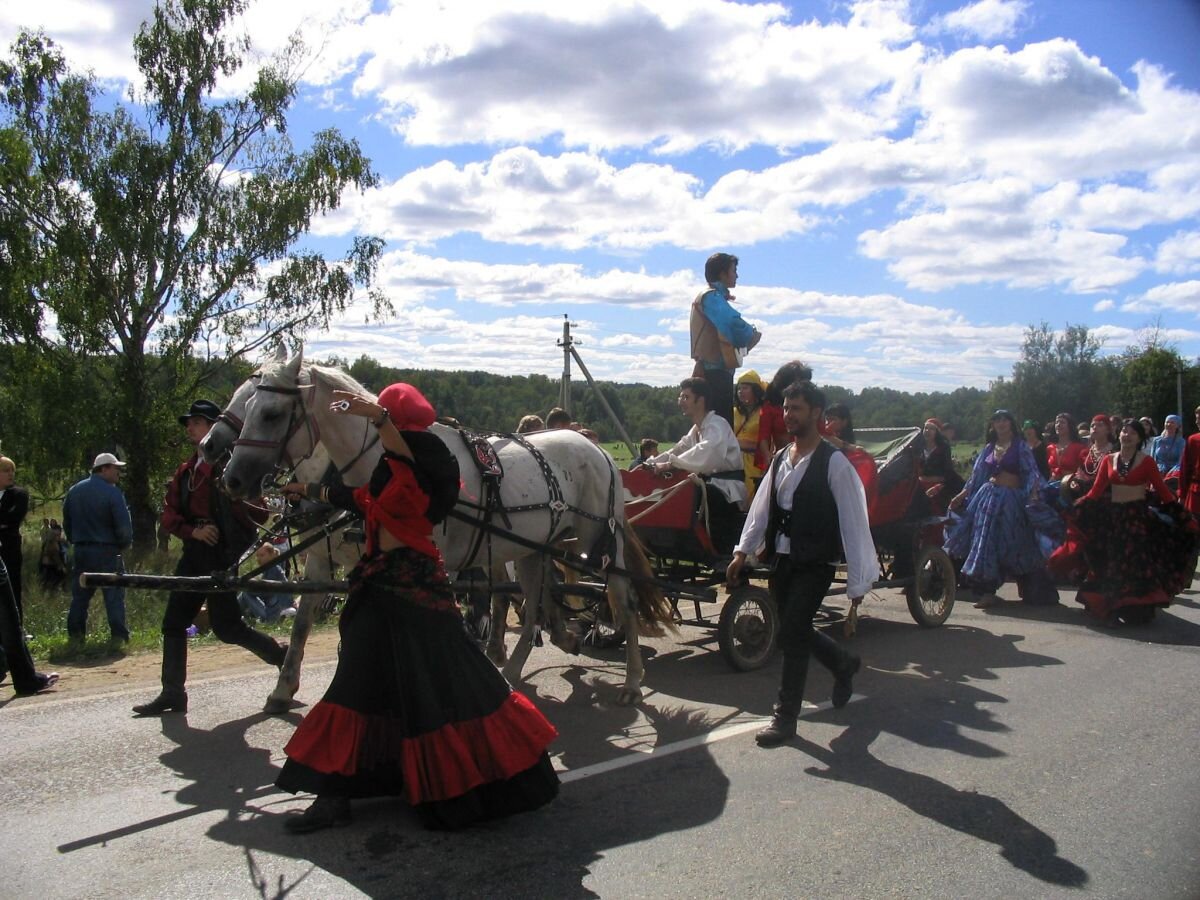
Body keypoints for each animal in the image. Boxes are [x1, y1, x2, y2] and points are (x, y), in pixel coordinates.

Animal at [220, 348, 672, 710]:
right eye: (247, 406)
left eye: (271, 414)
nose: (232, 479)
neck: (388, 462)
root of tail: (596, 448)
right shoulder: (326, 560)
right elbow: (305, 624)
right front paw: (284, 689)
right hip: (532, 547)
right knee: (534, 607)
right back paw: (516, 670)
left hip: (601, 543)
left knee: (621, 600)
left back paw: (631, 682)